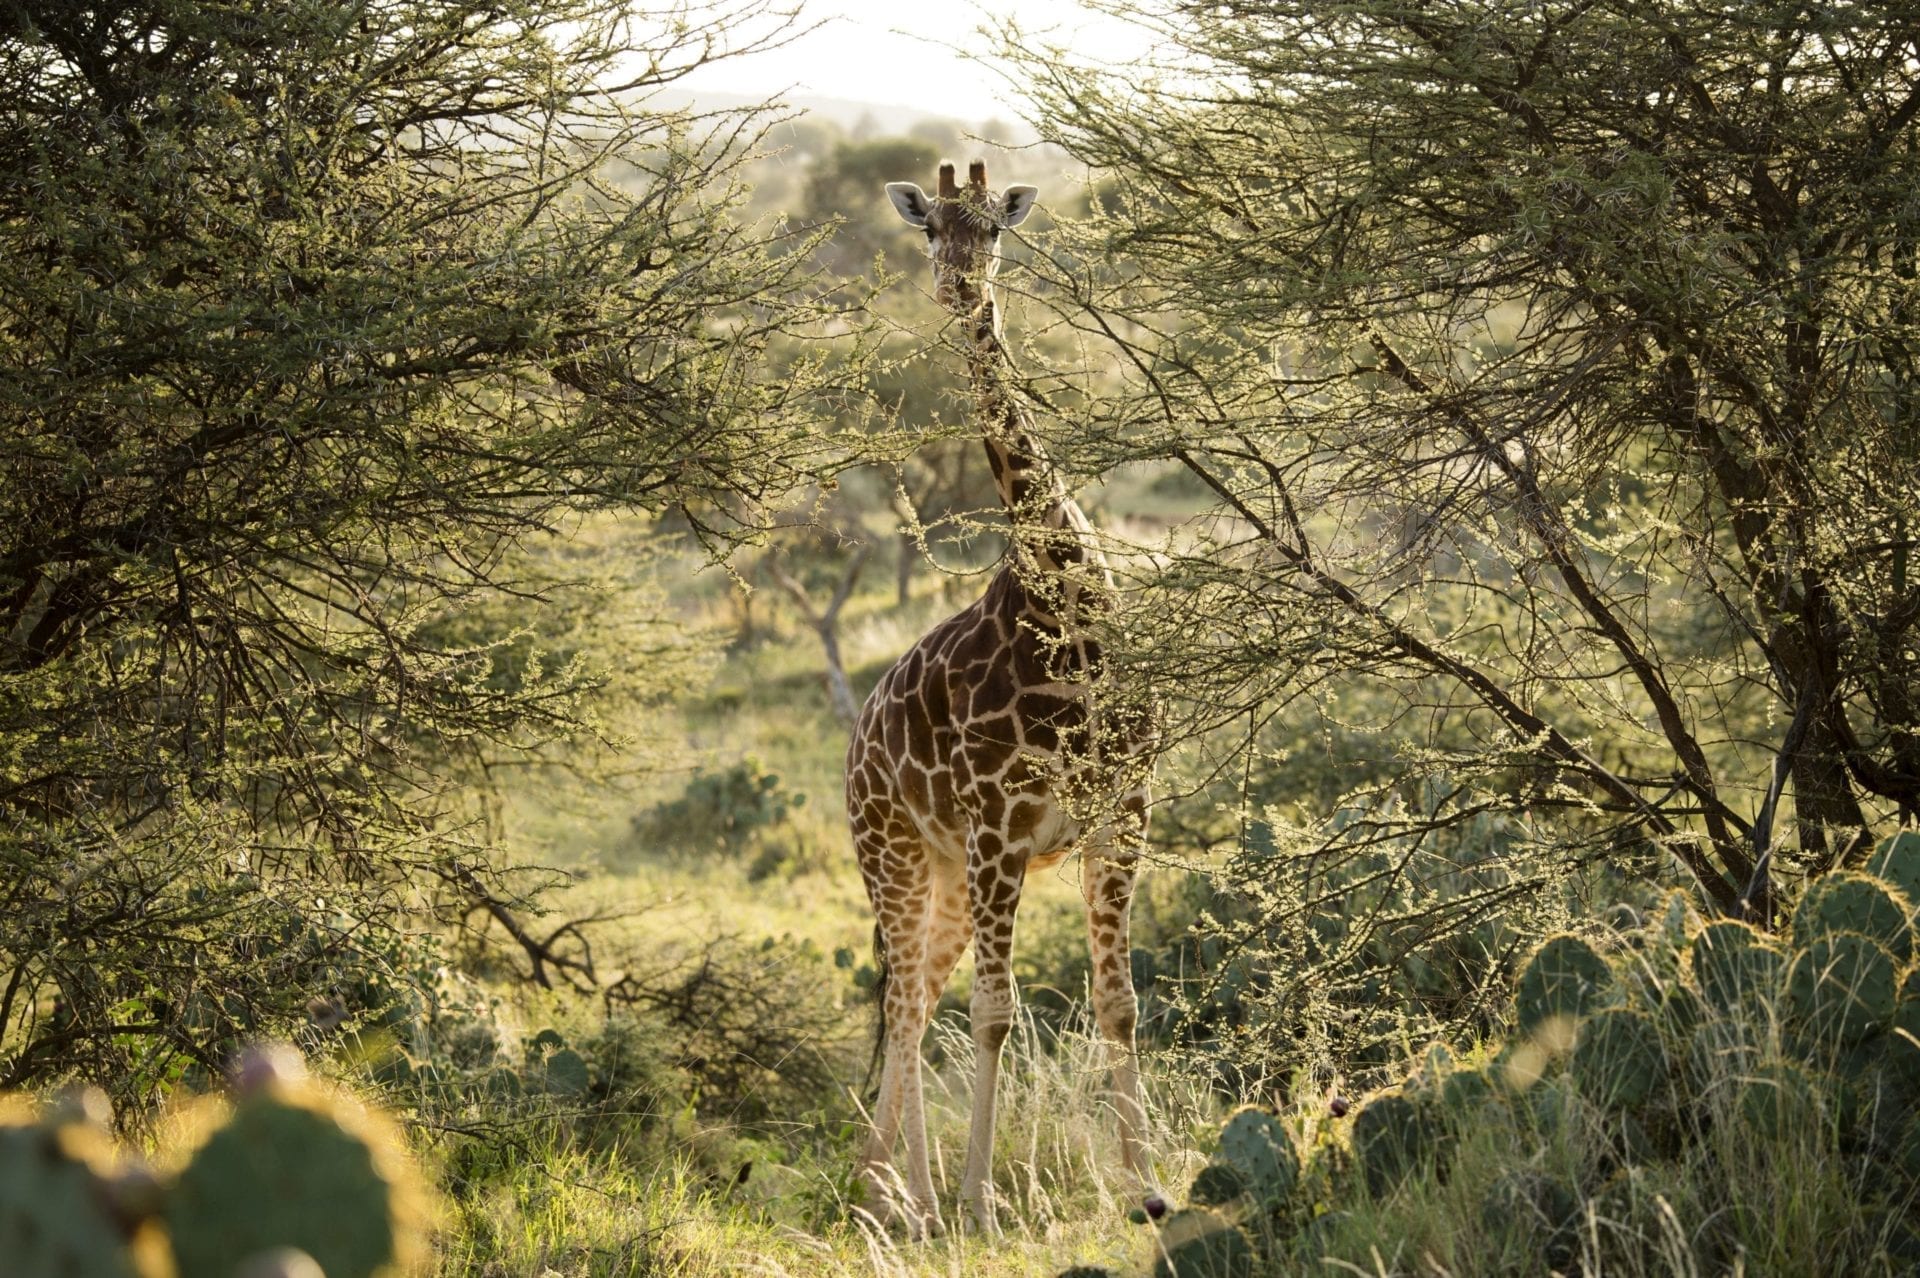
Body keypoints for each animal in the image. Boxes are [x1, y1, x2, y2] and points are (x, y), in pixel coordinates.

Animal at [843, 158, 1153, 1239]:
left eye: (992, 229)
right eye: (929, 228)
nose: (957, 284)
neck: (1064, 601)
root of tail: (853, 744)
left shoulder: (1122, 816)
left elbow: (1116, 1004)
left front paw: (1147, 1186)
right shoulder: (998, 829)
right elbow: (997, 1013)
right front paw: (984, 1201)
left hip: (939, 872)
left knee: (916, 1001)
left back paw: (887, 1190)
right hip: (895, 853)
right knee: (907, 1006)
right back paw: (922, 1201)